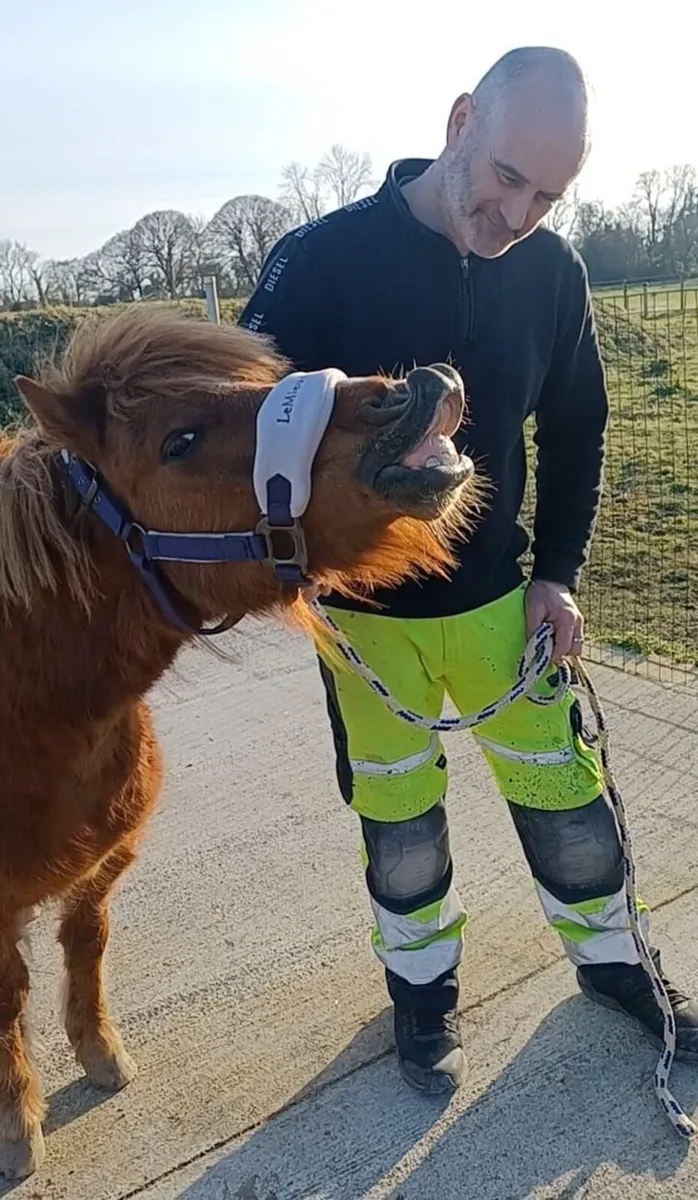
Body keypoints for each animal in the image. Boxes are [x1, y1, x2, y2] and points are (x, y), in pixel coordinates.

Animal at [0, 304, 482, 1178]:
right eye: (179, 440)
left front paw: (100, 1055)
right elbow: (9, 997)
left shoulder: (100, 868)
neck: (38, 716)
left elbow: (85, 947)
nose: (418, 390)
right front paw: (19, 1124)